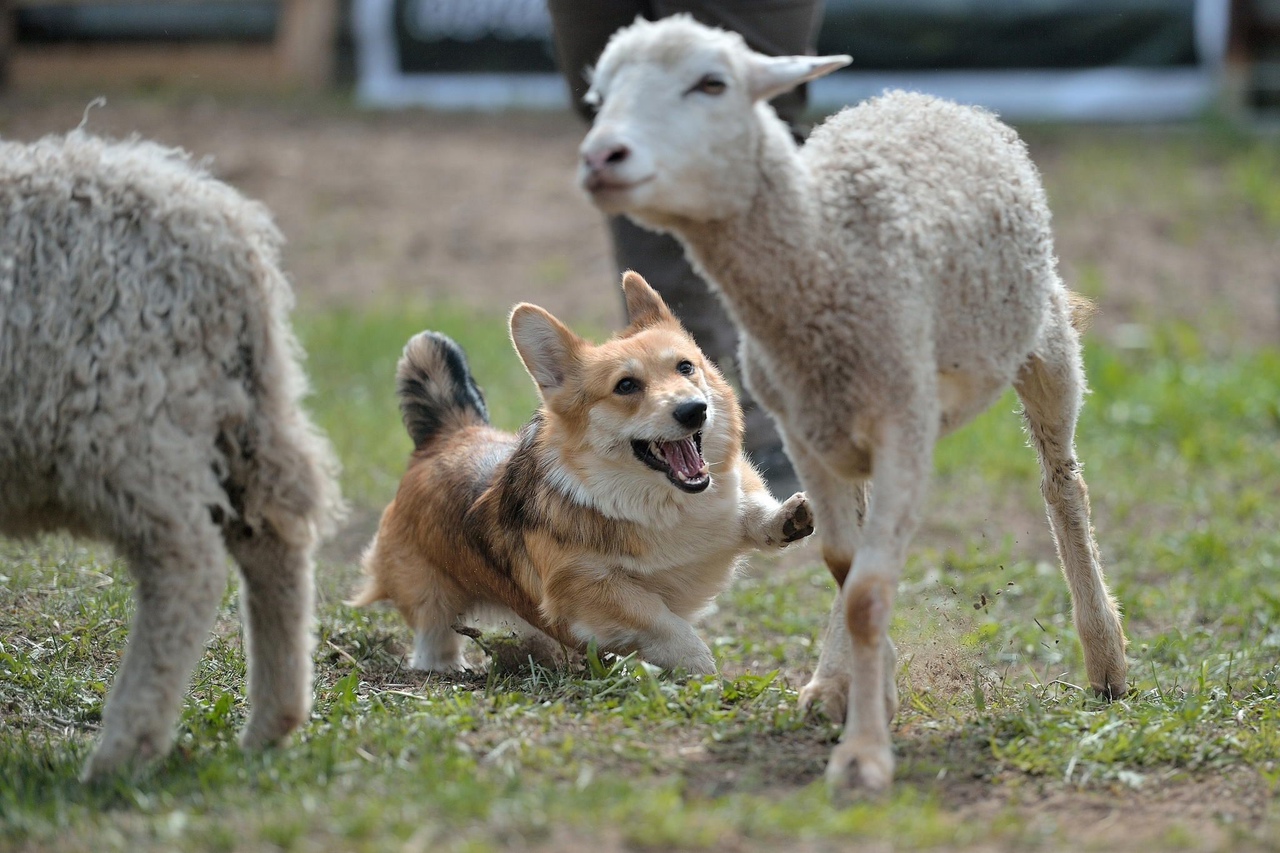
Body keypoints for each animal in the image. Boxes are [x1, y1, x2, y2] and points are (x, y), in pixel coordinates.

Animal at [0, 128, 343, 778]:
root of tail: (227, 235)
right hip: (233, 416)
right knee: (273, 540)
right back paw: (272, 723)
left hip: (126, 415)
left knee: (186, 564)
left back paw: (121, 751)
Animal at [350, 270, 808, 671]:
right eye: (626, 386)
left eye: (685, 367)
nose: (694, 410)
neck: (663, 503)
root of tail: (451, 434)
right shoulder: (584, 590)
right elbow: (658, 618)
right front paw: (698, 665)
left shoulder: (726, 507)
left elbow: (752, 510)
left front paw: (786, 517)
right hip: (431, 600)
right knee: (434, 637)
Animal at [581, 14, 1131, 783]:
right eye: (599, 97)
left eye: (711, 84)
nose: (600, 157)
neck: (826, 255)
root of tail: (920, 96)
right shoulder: (804, 427)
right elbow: (846, 570)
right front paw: (861, 690)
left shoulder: (906, 421)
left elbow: (868, 592)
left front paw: (864, 753)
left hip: (1041, 337)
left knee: (1062, 486)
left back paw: (1105, 659)